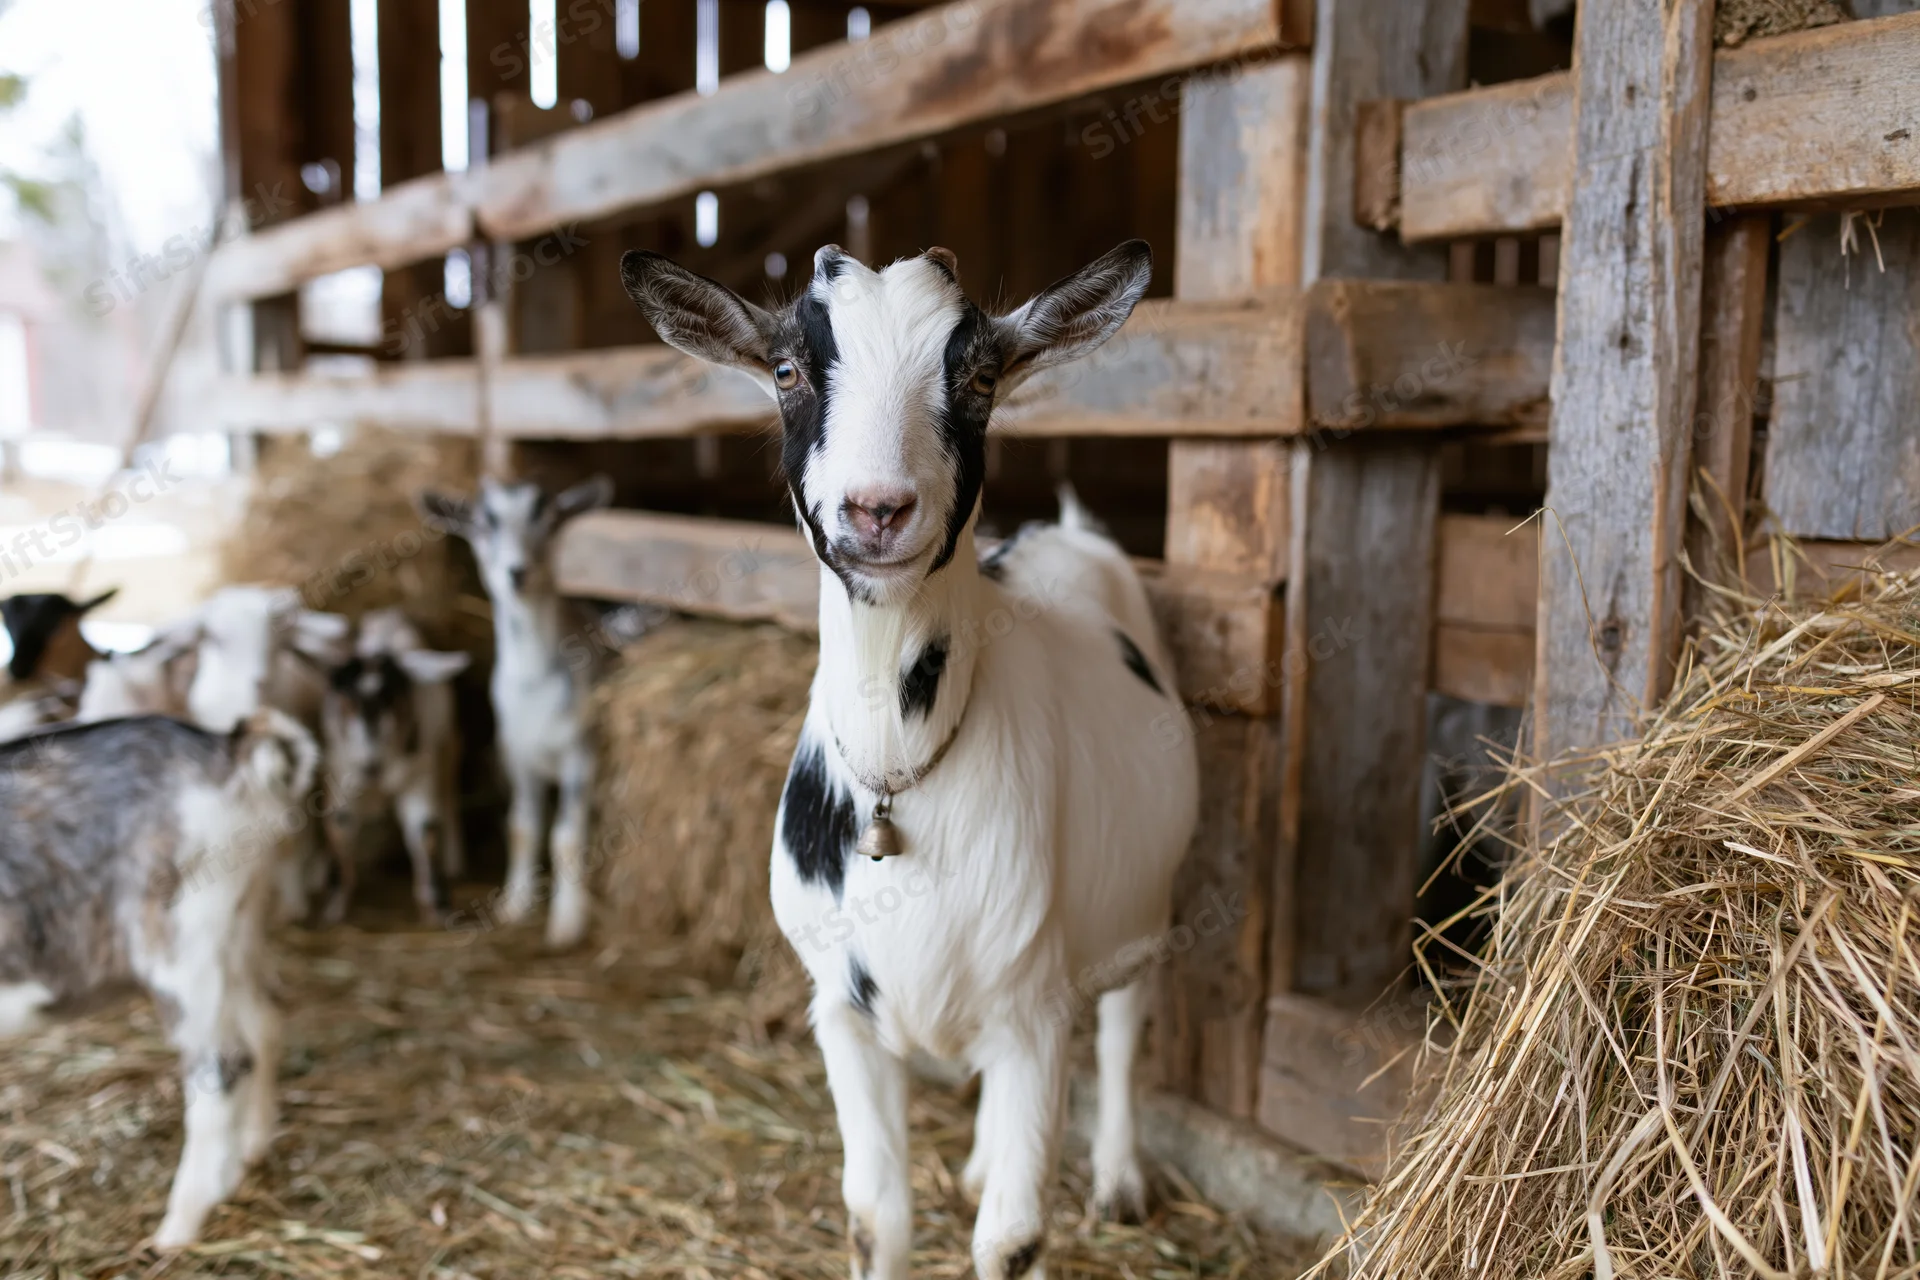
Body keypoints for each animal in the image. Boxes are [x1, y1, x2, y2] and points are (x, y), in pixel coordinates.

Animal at [0, 710, 319, 1248]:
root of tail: (224, 748)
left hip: (179, 939)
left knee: (222, 1062)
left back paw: (179, 1226)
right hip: (237, 929)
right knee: (264, 1027)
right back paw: (251, 1150)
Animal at [313, 607, 469, 923]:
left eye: (393, 697)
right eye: (347, 699)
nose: (370, 767)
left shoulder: (420, 774)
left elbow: (424, 831)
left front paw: (436, 907)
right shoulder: (340, 774)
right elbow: (339, 825)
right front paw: (333, 909)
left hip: (449, 744)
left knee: (449, 796)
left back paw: (454, 863)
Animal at [418, 476, 612, 950]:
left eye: (548, 517)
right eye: (484, 521)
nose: (517, 571)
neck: (533, 685)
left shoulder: (582, 752)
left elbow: (565, 837)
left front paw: (567, 925)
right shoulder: (518, 755)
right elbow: (521, 828)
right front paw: (514, 905)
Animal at [622, 241, 1199, 1280]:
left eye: (980, 377)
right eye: (786, 370)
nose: (878, 509)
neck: (904, 766)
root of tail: (1063, 529)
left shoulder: (1034, 1009)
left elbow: (1011, 1240)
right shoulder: (843, 1013)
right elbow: (873, 1216)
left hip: (1145, 899)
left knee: (1128, 1022)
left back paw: (1119, 1179)